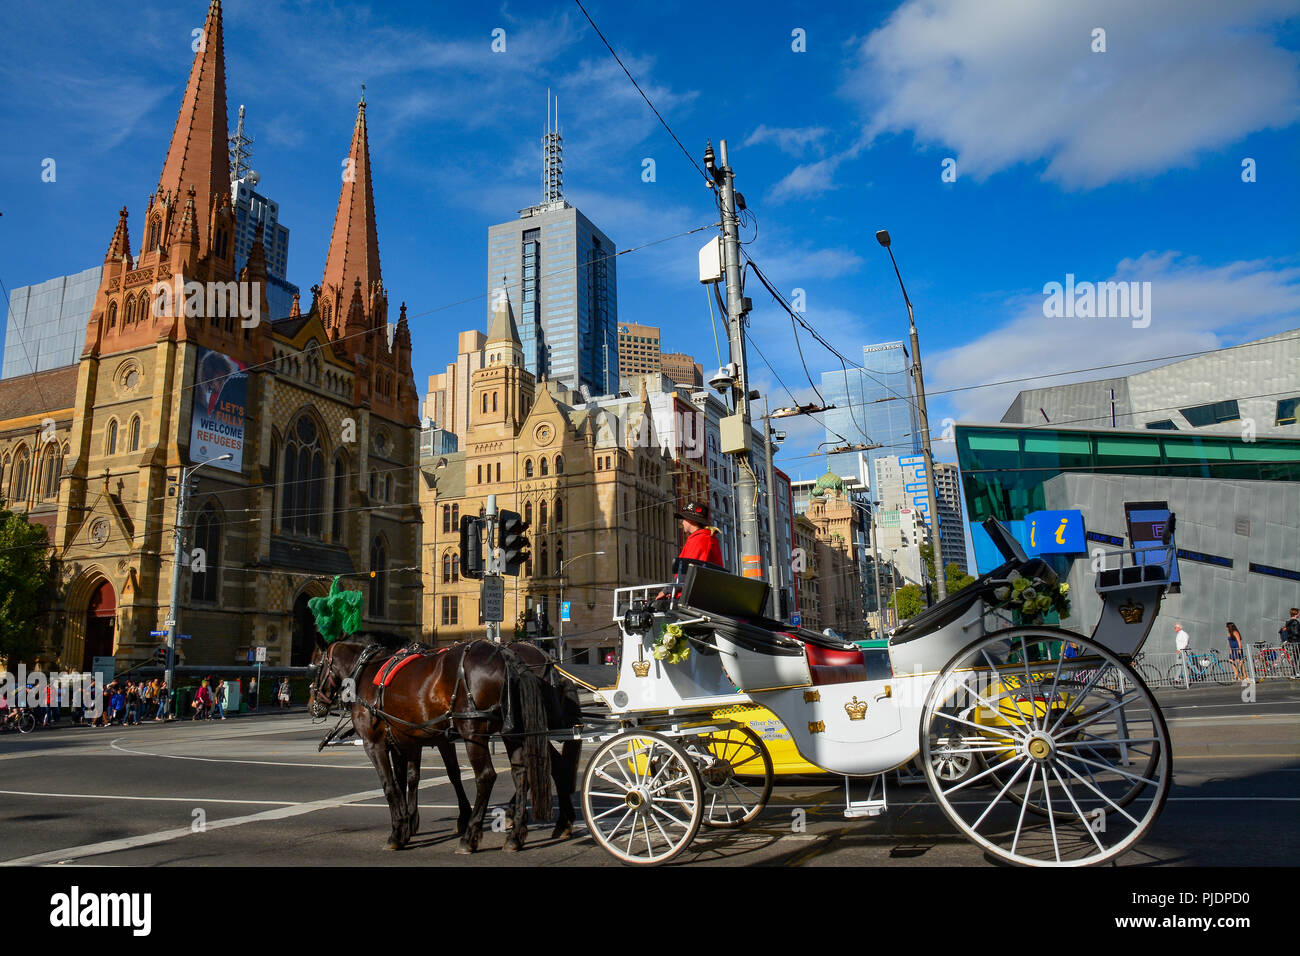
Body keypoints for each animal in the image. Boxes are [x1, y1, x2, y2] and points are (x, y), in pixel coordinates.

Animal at [309, 634, 579, 853]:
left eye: (314, 665)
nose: (314, 704)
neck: (365, 672)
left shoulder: (375, 743)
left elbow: (391, 785)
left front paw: (399, 831)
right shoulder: (411, 739)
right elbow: (417, 777)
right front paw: (410, 823)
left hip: (474, 731)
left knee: (487, 776)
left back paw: (472, 837)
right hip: (515, 731)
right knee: (527, 771)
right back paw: (521, 834)